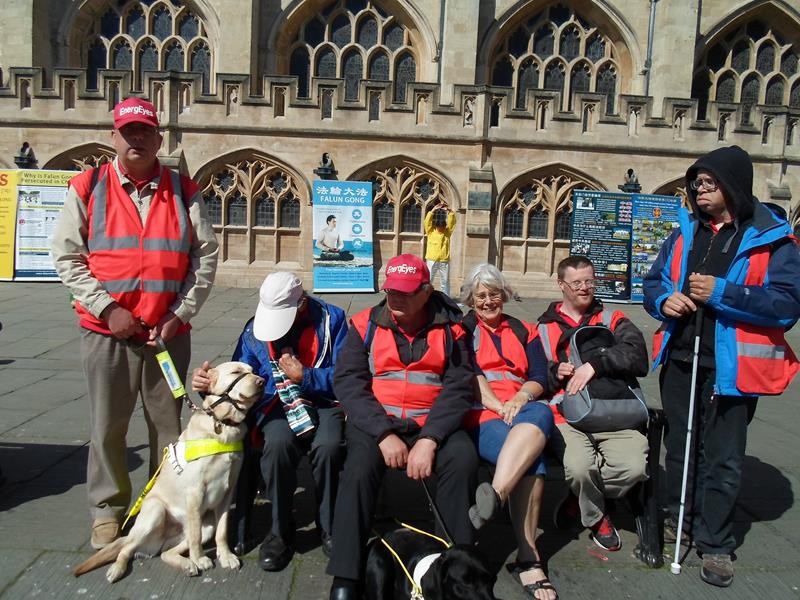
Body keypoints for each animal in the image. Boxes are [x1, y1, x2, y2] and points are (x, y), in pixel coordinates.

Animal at [73, 360, 264, 580]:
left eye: (253, 371)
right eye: (235, 372)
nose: (262, 381)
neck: (222, 424)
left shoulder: (227, 492)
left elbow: (222, 531)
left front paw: (225, 556)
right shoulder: (195, 492)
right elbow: (196, 536)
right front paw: (200, 559)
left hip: (206, 524)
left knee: (167, 552)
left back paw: (186, 564)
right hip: (155, 512)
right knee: (126, 549)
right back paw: (118, 569)